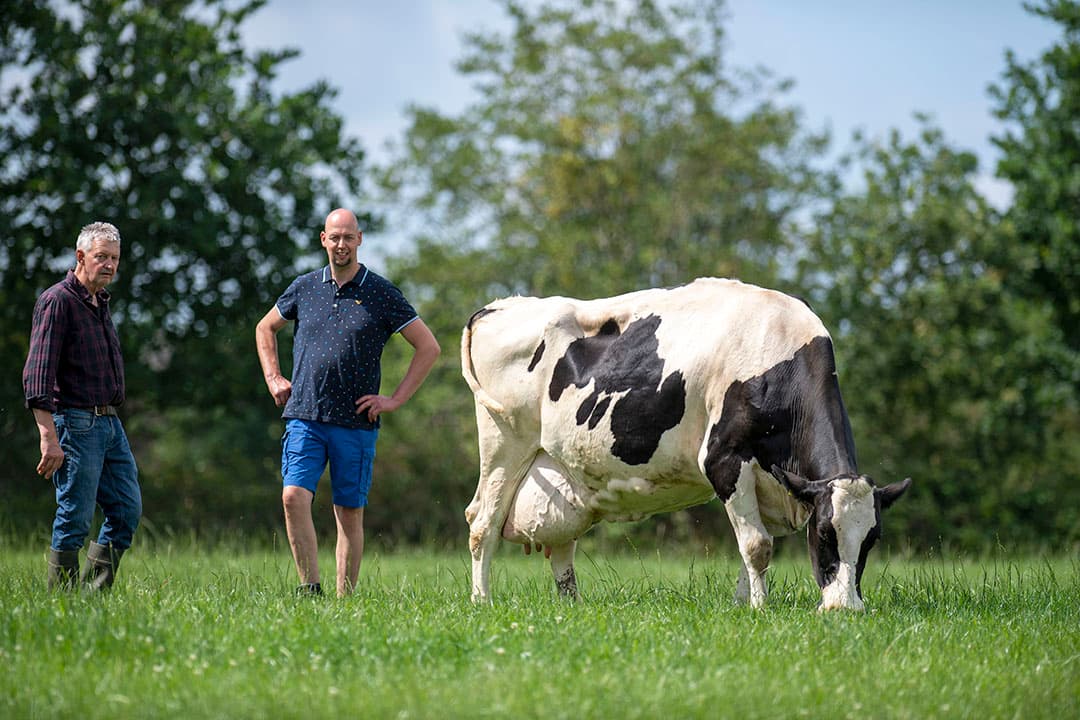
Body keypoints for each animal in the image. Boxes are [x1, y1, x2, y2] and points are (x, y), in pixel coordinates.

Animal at [462, 278, 910, 611]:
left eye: (872, 539)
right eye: (823, 533)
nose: (845, 608)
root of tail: (500, 306)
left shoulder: (773, 481)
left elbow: (752, 546)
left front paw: (740, 604)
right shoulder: (725, 459)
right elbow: (758, 545)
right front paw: (759, 609)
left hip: (559, 469)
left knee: (560, 544)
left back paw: (572, 606)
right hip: (504, 445)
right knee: (482, 523)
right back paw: (482, 602)